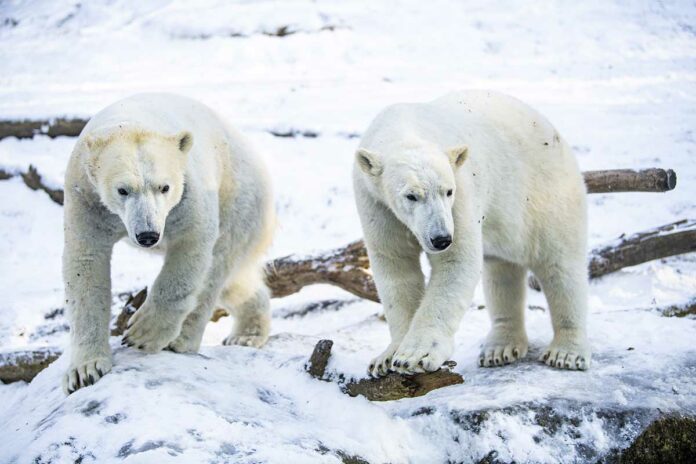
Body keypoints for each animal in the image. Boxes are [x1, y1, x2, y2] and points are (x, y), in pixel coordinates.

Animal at [63, 93, 274, 392]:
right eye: (122, 190)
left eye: (164, 187)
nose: (148, 235)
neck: (131, 122)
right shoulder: (86, 196)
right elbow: (86, 262)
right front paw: (85, 370)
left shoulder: (188, 190)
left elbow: (192, 242)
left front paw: (143, 333)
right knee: (235, 282)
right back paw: (247, 333)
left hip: (239, 197)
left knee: (216, 267)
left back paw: (180, 340)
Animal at [354, 89, 588, 376]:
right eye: (411, 196)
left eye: (447, 191)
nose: (441, 239)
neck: (404, 126)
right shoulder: (375, 202)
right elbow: (396, 266)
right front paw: (386, 359)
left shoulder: (461, 191)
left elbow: (456, 262)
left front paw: (415, 356)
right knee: (501, 273)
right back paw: (500, 348)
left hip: (547, 194)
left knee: (561, 266)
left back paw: (566, 353)